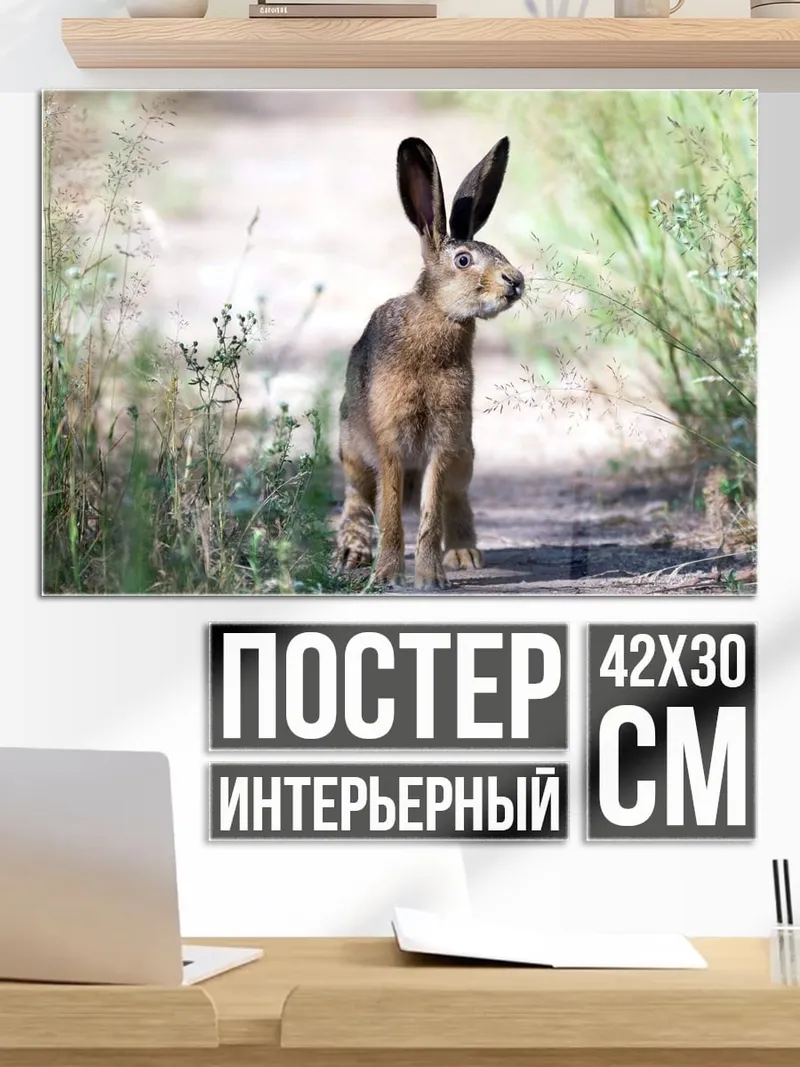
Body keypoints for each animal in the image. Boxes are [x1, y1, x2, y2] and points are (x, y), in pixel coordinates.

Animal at [336, 135, 525, 590]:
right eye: (464, 260)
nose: (516, 282)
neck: (439, 316)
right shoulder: (389, 440)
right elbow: (389, 512)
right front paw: (387, 575)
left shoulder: (444, 439)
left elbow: (430, 512)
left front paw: (431, 578)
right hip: (352, 450)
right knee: (358, 497)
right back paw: (352, 552)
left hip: (465, 453)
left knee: (456, 498)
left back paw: (464, 554)